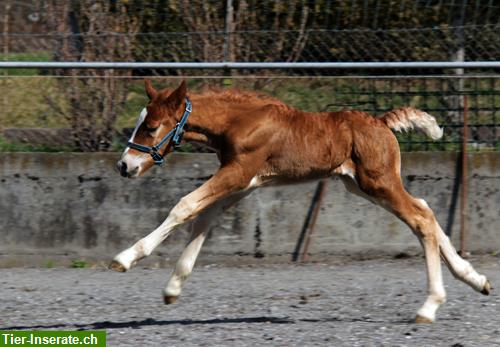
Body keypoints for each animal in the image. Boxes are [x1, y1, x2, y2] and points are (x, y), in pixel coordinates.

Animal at [111, 79, 490, 324]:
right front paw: (173, 287)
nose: (124, 166)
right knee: (425, 208)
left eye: (151, 127)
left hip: (378, 181)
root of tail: (381, 122)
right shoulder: (245, 181)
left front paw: (125, 258)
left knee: (420, 218)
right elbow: (205, 218)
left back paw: (429, 307)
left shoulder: (238, 172)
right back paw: (475, 280)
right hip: (361, 185)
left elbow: (185, 206)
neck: (239, 121)